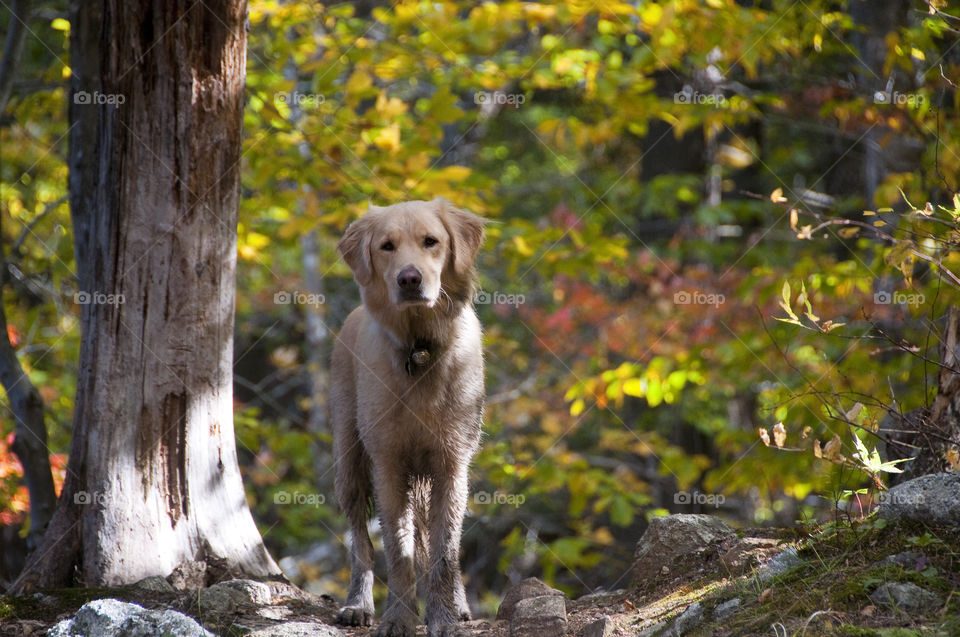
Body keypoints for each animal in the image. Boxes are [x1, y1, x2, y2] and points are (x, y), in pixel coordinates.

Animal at [334, 198, 488, 636]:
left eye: (430, 241)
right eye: (387, 246)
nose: (409, 279)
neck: (419, 350)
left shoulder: (452, 464)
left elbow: (444, 552)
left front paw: (444, 618)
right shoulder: (388, 464)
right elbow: (398, 552)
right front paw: (399, 618)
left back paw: (459, 605)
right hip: (348, 461)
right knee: (360, 542)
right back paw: (358, 604)